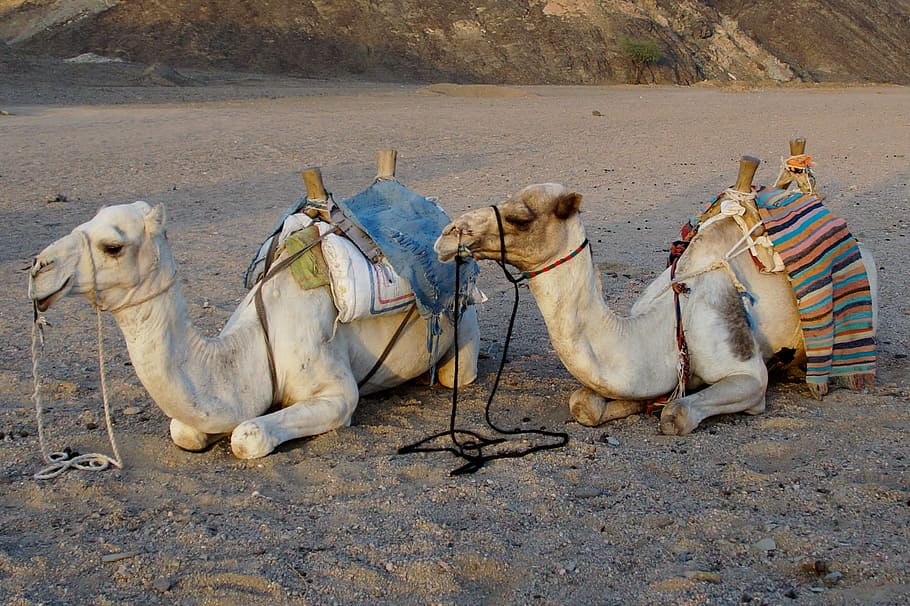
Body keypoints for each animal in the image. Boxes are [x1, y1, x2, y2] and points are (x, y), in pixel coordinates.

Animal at [28, 169, 480, 459]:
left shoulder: (337, 393)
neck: (253, 347)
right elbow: (183, 429)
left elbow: (246, 435)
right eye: (84, 222)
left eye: (112, 246)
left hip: (464, 320)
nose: (37, 268)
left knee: (454, 372)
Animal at [435, 158, 877, 435]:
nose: (447, 234)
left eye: (519, 217)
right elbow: (584, 404)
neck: (661, 327)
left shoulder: (748, 375)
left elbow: (676, 414)